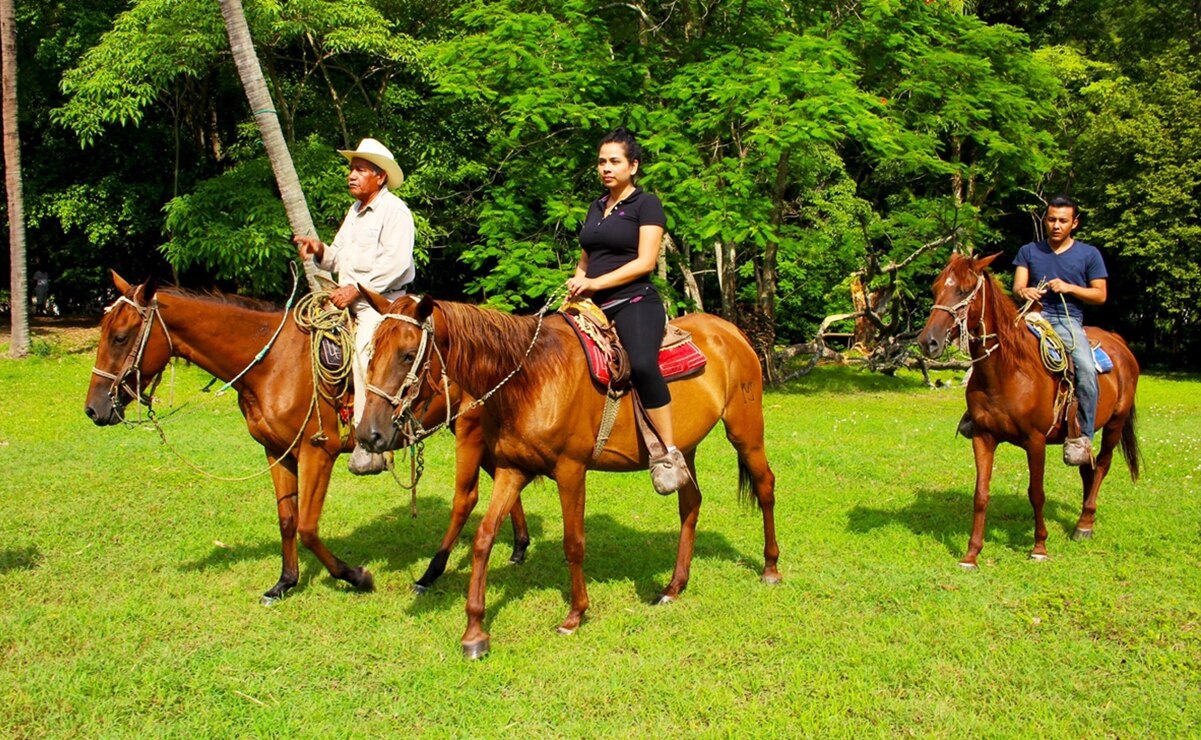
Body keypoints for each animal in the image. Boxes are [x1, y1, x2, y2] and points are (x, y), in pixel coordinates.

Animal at [84, 273, 529, 602]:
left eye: (121, 336)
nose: (93, 409)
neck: (273, 365)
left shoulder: (317, 452)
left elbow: (308, 527)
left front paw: (356, 576)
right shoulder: (275, 452)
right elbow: (287, 519)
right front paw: (285, 582)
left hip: (469, 428)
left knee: (466, 498)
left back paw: (430, 574)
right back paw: (520, 546)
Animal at [356, 291, 781, 659]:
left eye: (407, 354)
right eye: (371, 352)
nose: (368, 434)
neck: (531, 378)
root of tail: (731, 332)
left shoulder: (571, 470)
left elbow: (573, 543)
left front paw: (575, 615)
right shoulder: (512, 469)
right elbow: (483, 538)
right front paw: (474, 631)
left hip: (745, 430)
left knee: (765, 486)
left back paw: (771, 568)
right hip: (684, 449)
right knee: (690, 503)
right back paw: (674, 587)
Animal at [917, 252, 1141, 568]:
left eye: (963, 290)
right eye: (936, 289)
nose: (928, 342)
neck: (1007, 372)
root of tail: (1119, 342)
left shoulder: (1035, 441)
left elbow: (1036, 493)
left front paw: (1039, 547)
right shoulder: (983, 437)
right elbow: (980, 494)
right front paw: (971, 554)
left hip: (1115, 424)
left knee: (1102, 466)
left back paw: (1085, 524)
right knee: (1087, 467)